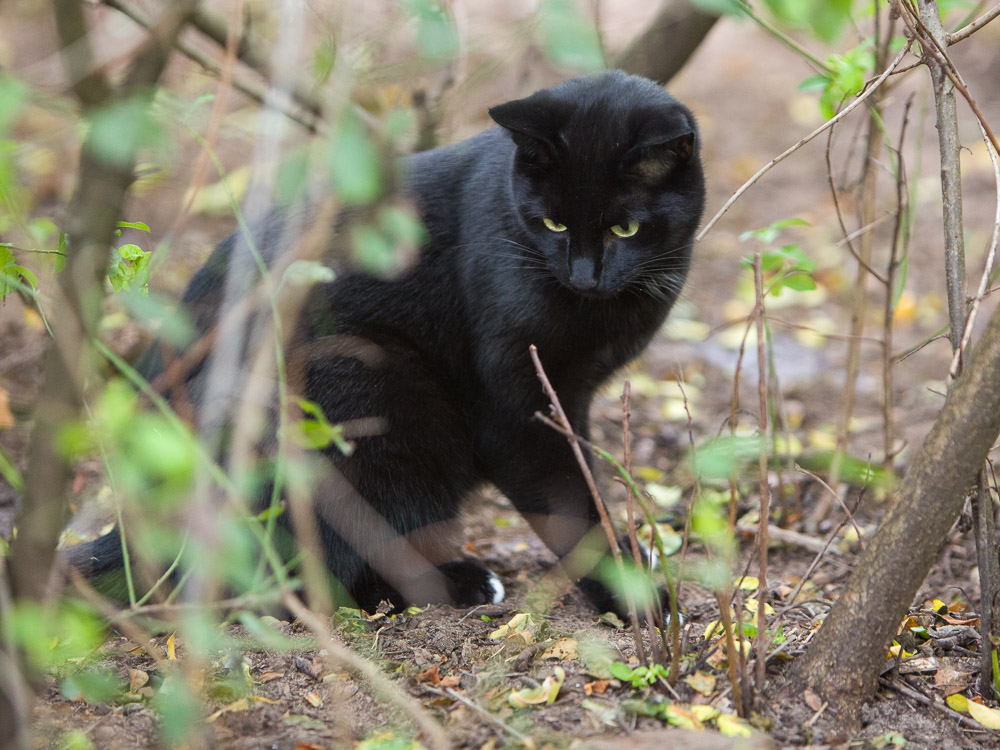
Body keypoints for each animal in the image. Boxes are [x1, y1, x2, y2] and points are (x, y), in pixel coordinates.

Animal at [68, 72, 704, 616]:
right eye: (552, 223)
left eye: (625, 228)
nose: (583, 274)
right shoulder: (519, 408)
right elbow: (572, 503)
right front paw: (633, 594)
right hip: (370, 393)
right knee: (304, 576)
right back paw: (460, 581)